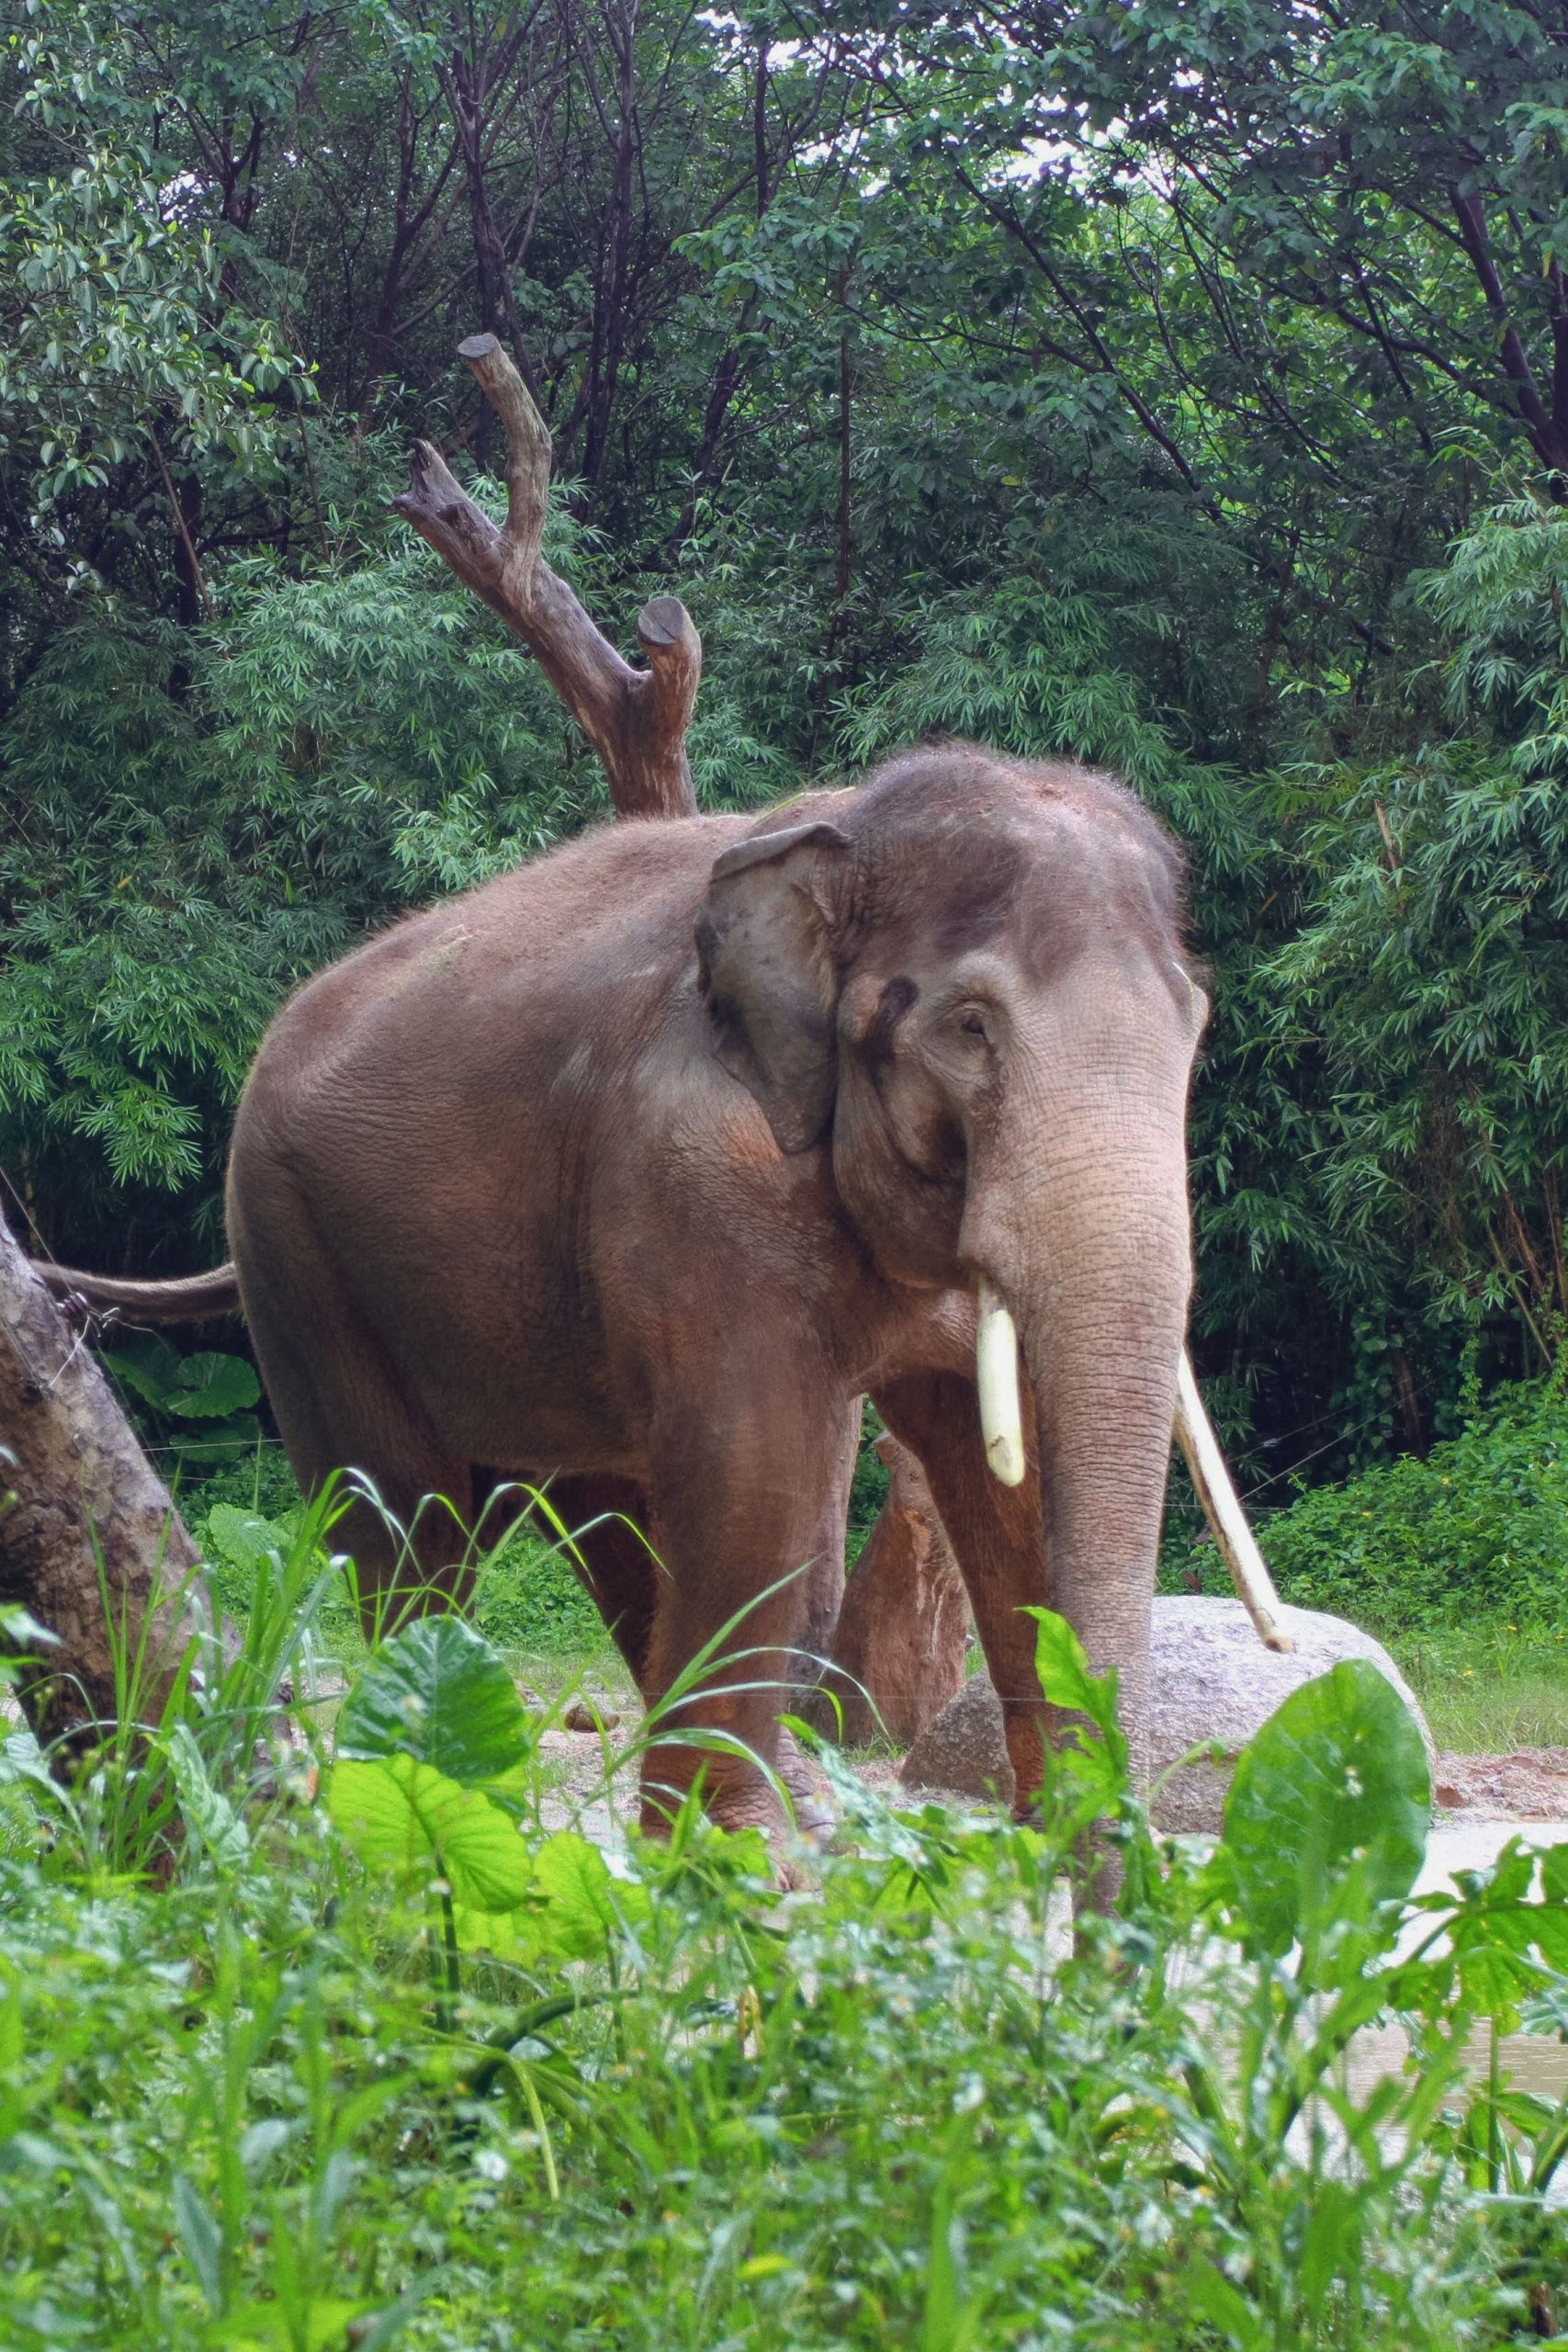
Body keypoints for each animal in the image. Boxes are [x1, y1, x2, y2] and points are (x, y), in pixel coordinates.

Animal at [46, 740, 1206, 1842]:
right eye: (971, 1026)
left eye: (1195, 1024)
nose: (1109, 1849)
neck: (846, 829)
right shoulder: (695, 1169)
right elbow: (756, 1479)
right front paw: (748, 1867)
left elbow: (1003, 1467)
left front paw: (1056, 1836)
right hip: (296, 1253)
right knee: (412, 1538)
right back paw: (441, 1790)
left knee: (608, 1526)